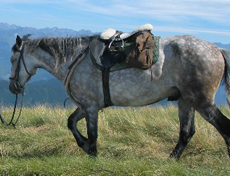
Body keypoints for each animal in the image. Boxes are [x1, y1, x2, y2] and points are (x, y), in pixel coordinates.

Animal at [9, 32, 230, 160]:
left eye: (12, 59)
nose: (13, 87)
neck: (74, 59)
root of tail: (217, 50)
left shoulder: (91, 106)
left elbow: (93, 133)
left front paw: (92, 153)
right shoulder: (87, 105)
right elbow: (71, 122)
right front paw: (84, 145)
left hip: (202, 102)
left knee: (224, 127)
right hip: (186, 100)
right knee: (186, 132)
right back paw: (171, 159)